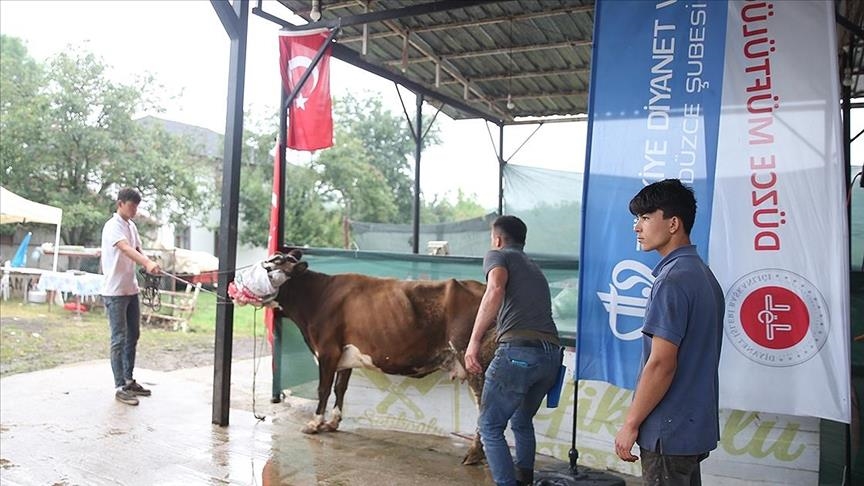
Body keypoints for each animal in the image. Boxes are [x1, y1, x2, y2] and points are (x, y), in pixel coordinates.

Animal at [256, 249, 496, 466]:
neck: (317, 297)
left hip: (472, 359)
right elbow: (340, 388)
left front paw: (314, 424)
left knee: (484, 405)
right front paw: (333, 422)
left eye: (272, 267)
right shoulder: (344, 354)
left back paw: (474, 454)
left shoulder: (327, 351)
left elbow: (323, 389)